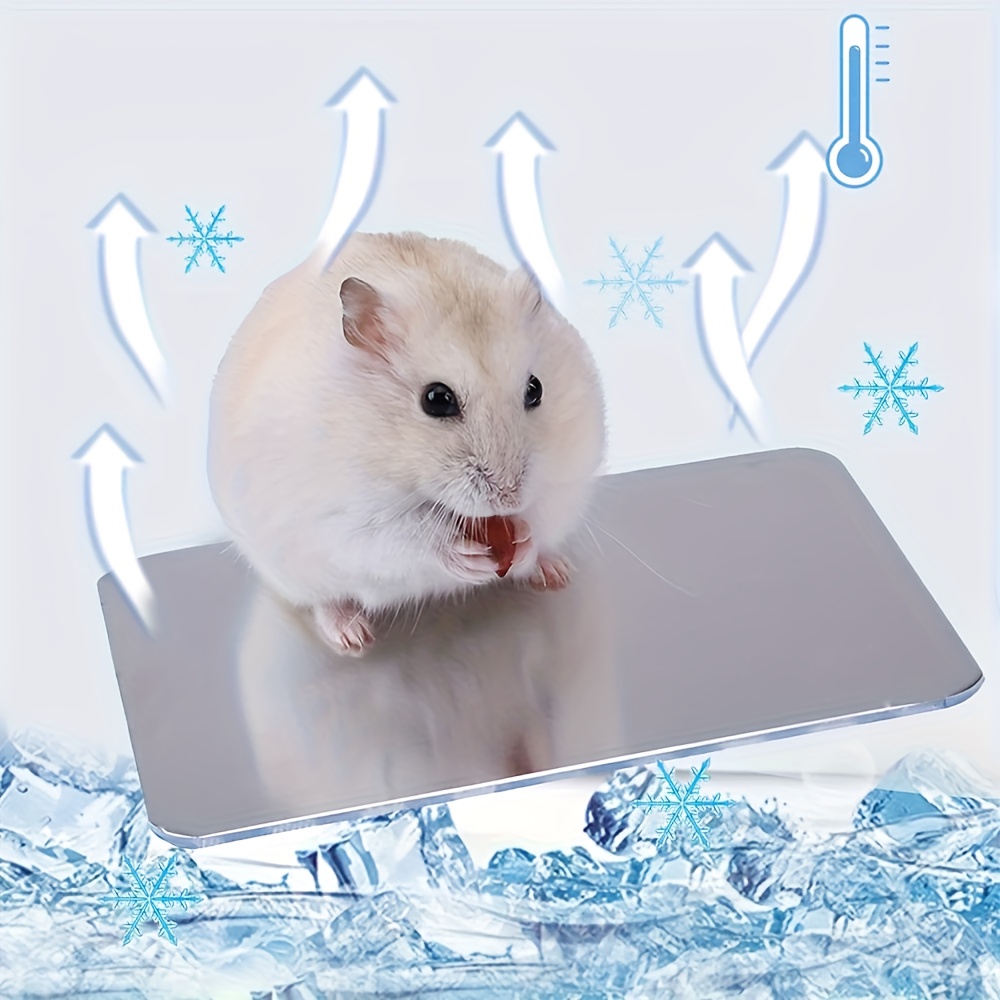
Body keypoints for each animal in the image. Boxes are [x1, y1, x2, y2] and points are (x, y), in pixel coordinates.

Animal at [208, 231, 606, 655]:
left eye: (535, 389)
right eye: (436, 399)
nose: (509, 497)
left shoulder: (568, 475)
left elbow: (543, 510)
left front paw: (527, 539)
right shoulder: (340, 518)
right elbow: (402, 536)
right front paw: (466, 556)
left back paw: (554, 571)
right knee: (325, 600)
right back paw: (352, 636)